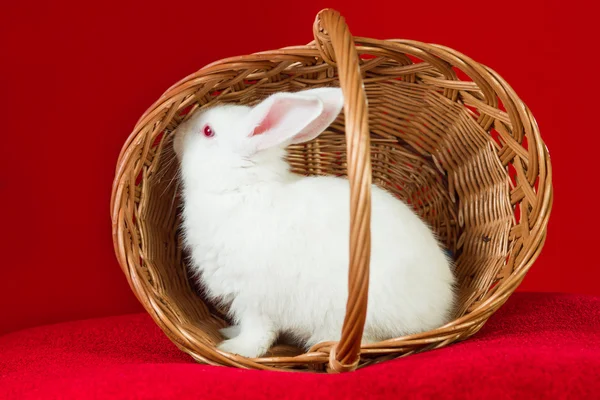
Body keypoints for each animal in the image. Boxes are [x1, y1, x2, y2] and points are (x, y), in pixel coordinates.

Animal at [173, 86, 454, 356]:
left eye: (208, 131)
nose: (176, 134)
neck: (240, 186)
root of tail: (441, 310)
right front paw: (230, 333)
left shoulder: (253, 297)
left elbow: (258, 331)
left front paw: (235, 349)